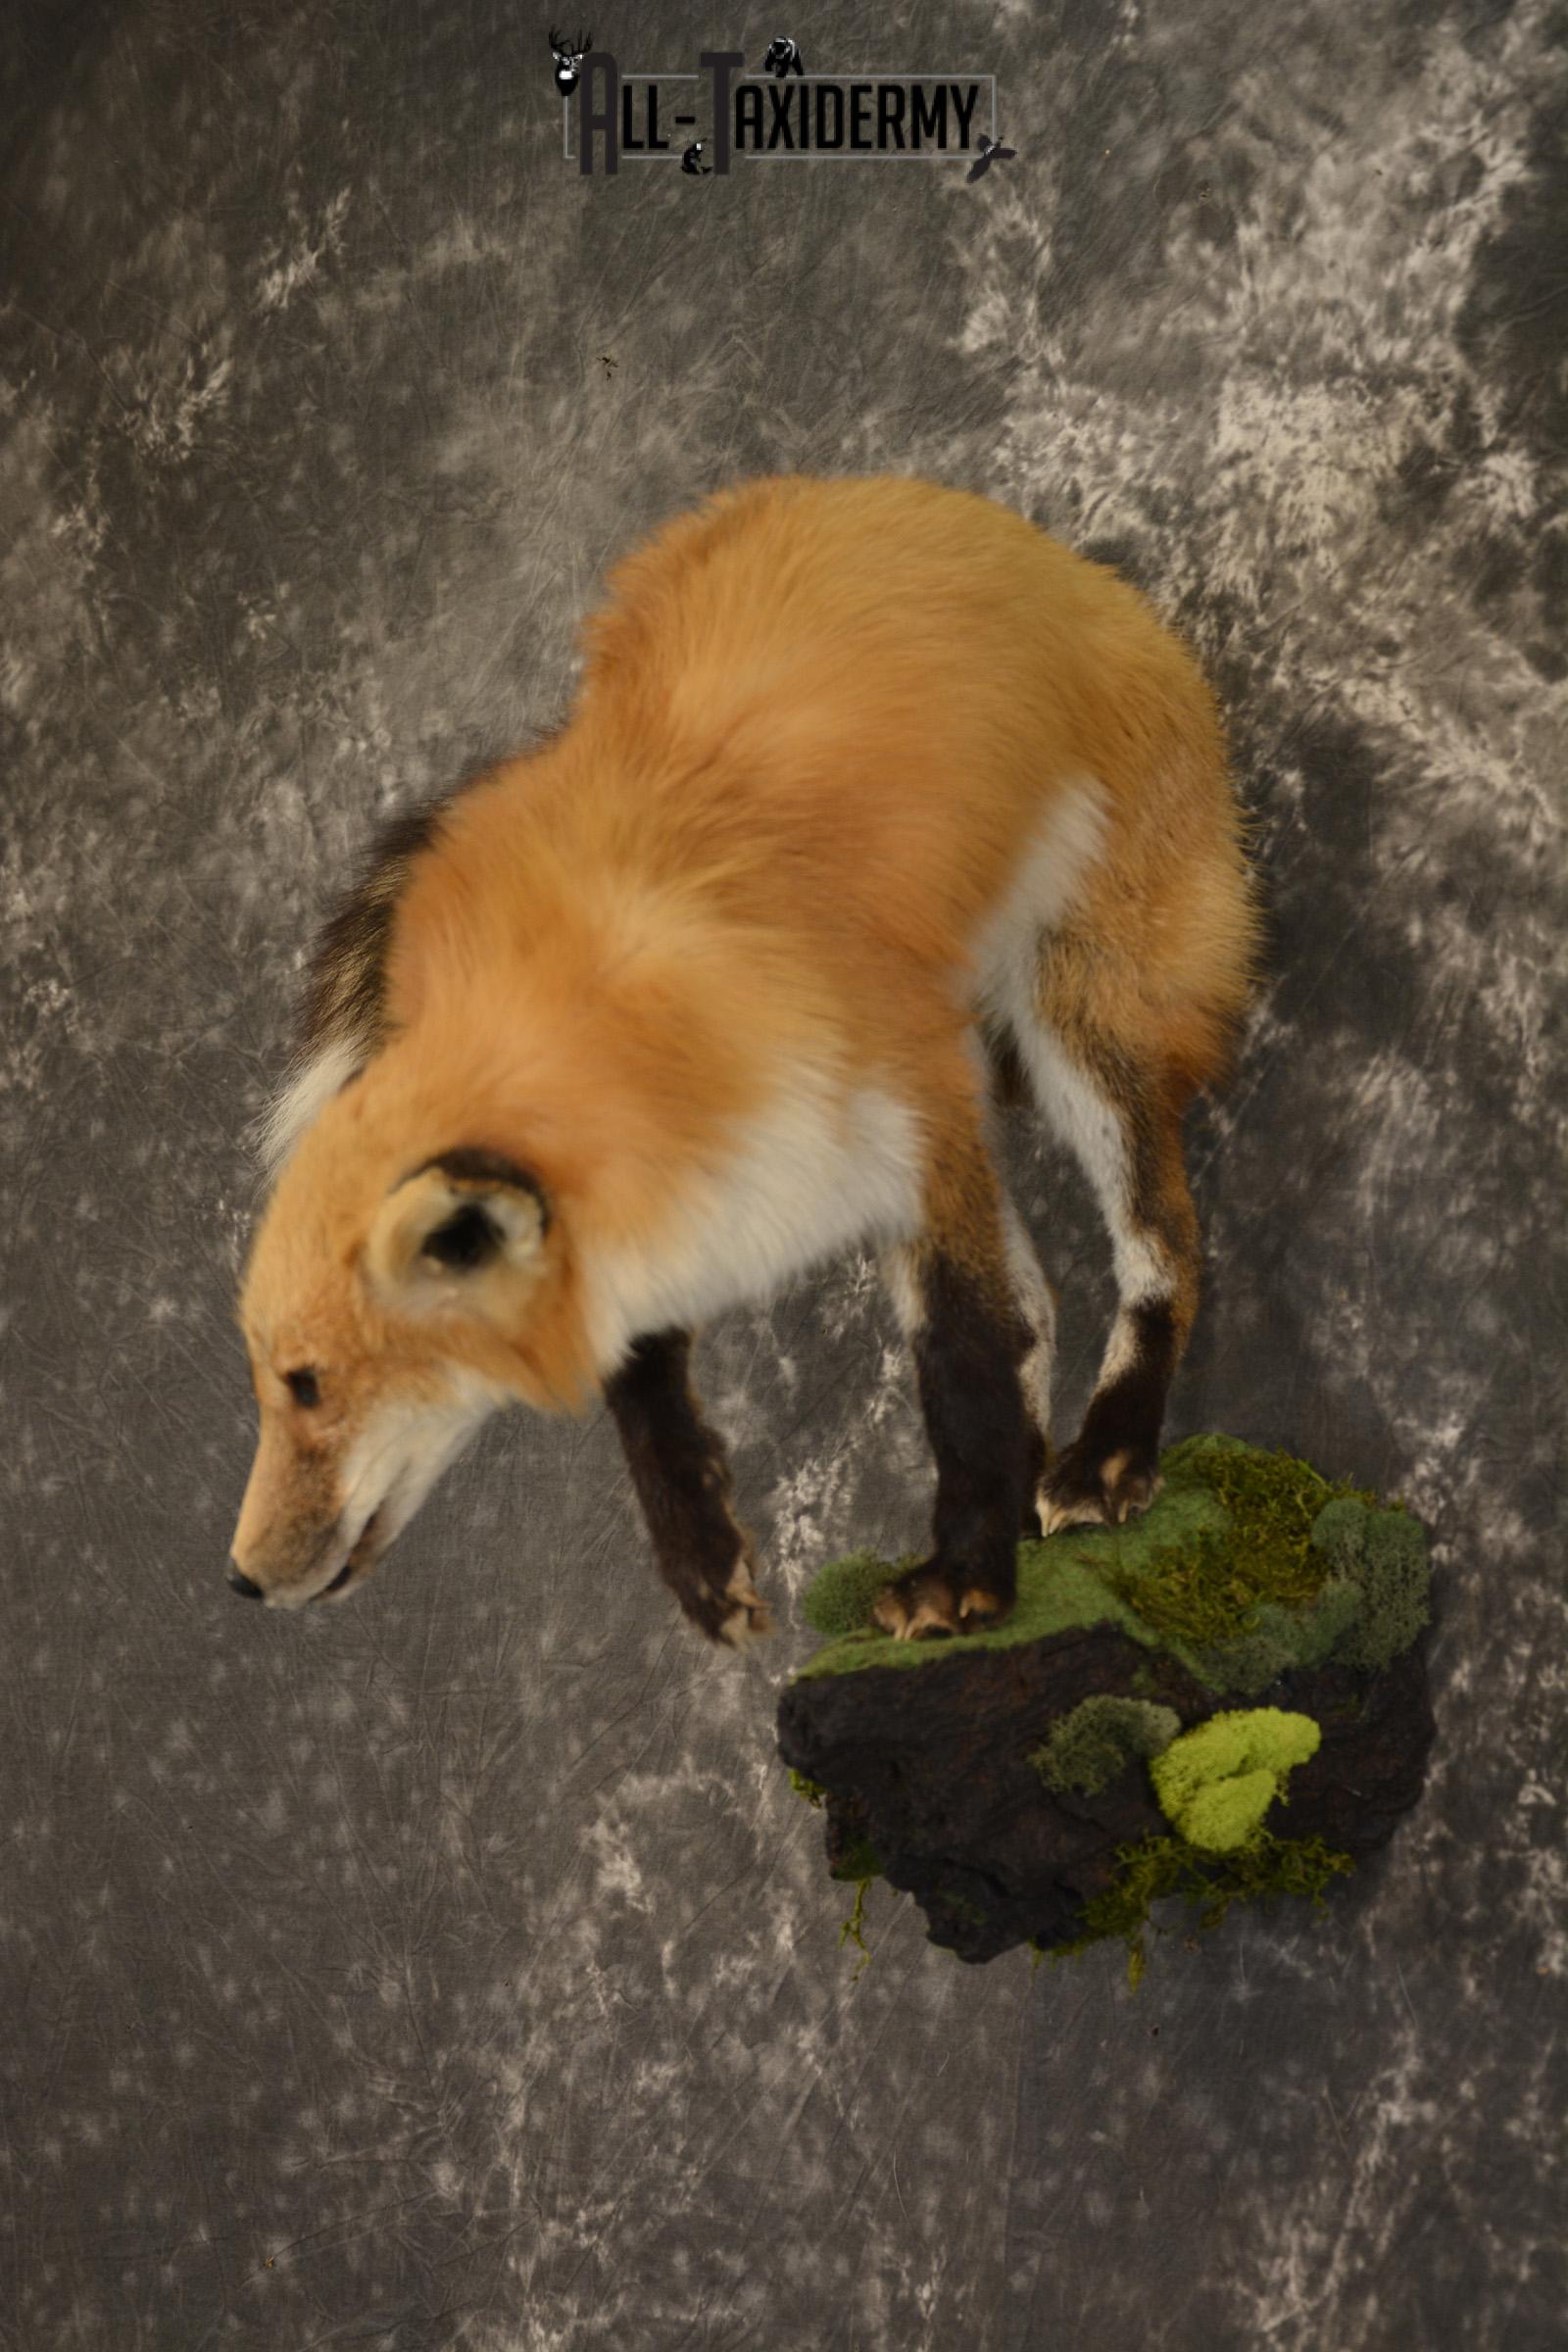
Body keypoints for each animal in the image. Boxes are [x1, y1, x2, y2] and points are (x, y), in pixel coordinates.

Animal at [230, 473, 1263, 1644]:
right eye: (273, 1384)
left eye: (307, 1386)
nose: (239, 1581)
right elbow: (643, 1376)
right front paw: (699, 1552)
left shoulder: (910, 1125)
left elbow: (964, 1361)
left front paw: (962, 1573)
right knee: (1046, 1307)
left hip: (1079, 1028)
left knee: (1162, 1245)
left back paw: (1110, 1455)